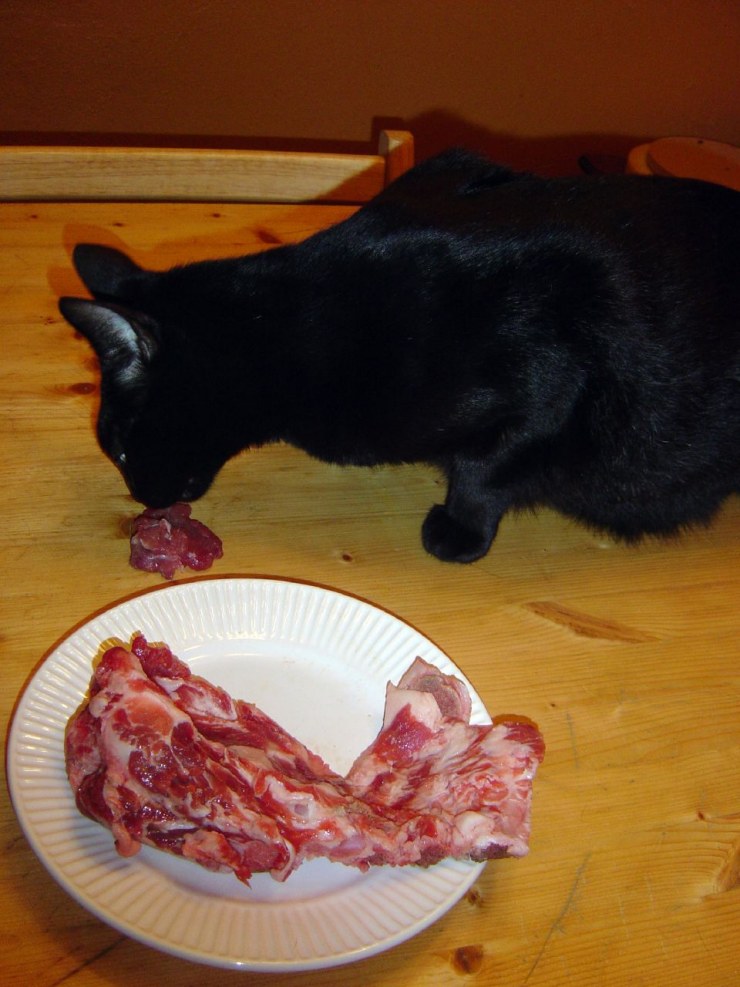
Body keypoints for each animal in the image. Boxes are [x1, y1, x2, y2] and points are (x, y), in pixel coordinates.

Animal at [59, 148, 740, 564]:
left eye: (122, 451)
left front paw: (459, 531)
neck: (292, 324)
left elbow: (484, 469)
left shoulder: (551, 376)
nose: (142, 499)